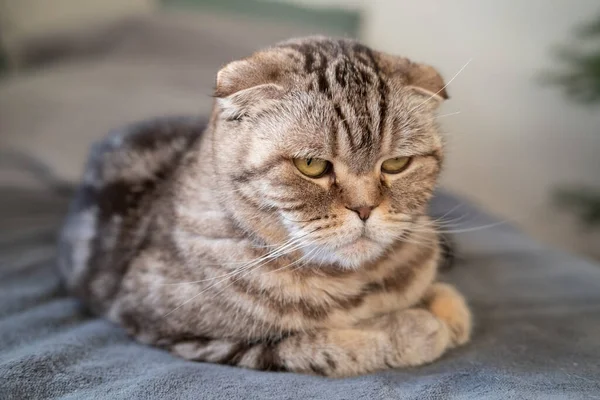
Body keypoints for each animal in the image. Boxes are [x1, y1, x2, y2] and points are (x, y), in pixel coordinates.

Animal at [59, 36, 474, 376]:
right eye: (312, 165)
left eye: (396, 164)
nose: (365, 209)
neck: (358, 281)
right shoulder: (188, 335)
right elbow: (323, 345)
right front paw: (417, 328)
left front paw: (447, 309)